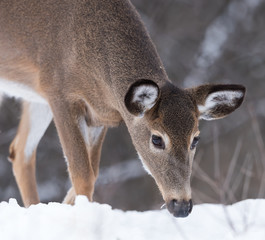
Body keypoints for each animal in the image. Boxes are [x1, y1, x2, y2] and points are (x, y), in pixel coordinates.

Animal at [0, 0, 245, 218]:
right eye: (157, 139)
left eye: (195, 139)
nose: (182, 206)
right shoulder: (58, 91)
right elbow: (82, 173)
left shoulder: (99, 113)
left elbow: (93, 171)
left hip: (35, 98)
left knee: (20, 152)